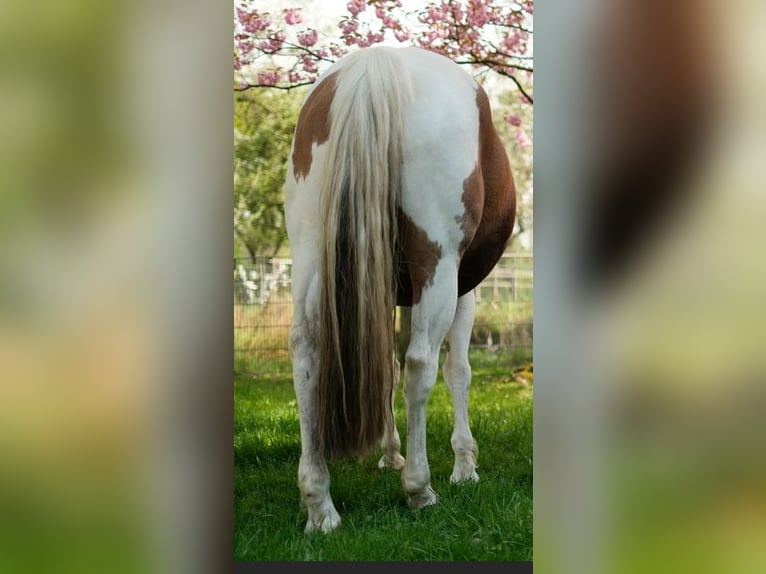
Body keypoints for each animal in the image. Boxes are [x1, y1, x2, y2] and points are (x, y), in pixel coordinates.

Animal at [284, 45, 517, 533]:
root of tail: (376, 63)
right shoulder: (462, 289)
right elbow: (457, 370)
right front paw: (464, 466)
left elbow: (385, 366)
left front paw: (389, 453)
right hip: (438, 265)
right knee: (421, 364)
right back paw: (419, 488)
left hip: (311, 252)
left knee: (306, 351)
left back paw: (320, 505)